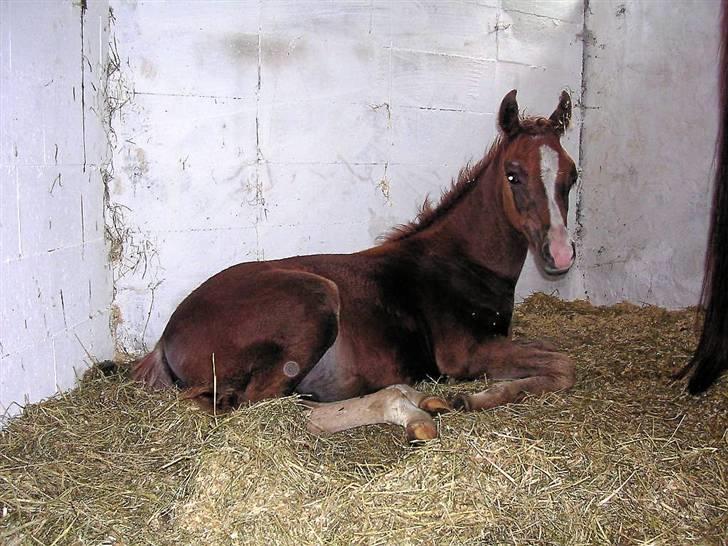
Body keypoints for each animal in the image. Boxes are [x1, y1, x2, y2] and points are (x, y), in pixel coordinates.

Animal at [132, 88, 580, 438]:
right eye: (513, 174)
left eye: (572, 175)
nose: (560, 254)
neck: (463, 263)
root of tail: (166, 337)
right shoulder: (464, 354)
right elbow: (563, 365)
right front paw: (475, 397)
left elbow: (550, 352)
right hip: (315, 300)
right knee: (270, 408)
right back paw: (408, 410)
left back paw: (423, 401)